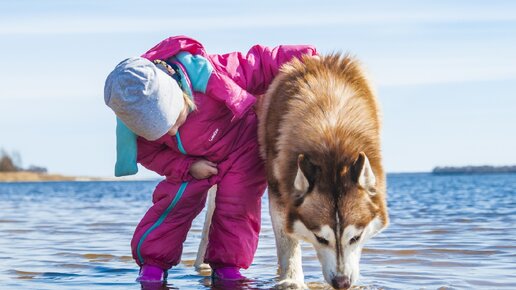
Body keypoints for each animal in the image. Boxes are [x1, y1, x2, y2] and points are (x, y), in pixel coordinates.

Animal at [256, 53, 390, 288]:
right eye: (320, 238)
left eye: (355, 238)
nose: (342, 283)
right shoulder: (279, 193)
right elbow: (287, 243)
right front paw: (292, 280)